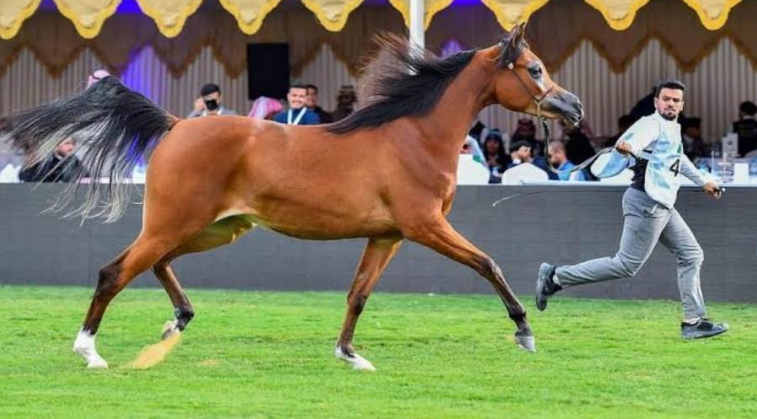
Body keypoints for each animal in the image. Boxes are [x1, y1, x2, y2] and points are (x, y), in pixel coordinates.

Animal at [0, 23, 583, 370]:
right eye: (534, 69)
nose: (573, 107)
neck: (413, 136)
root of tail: (175, 125)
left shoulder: (387, 236)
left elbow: (358, 294)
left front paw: (349, 354)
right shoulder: (425, 226)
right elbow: (487, 263)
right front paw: (526, 330)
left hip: (216, 228)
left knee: (156, 263)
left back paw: (177, 319)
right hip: (176, 222)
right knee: (114, 272)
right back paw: (89, 350)